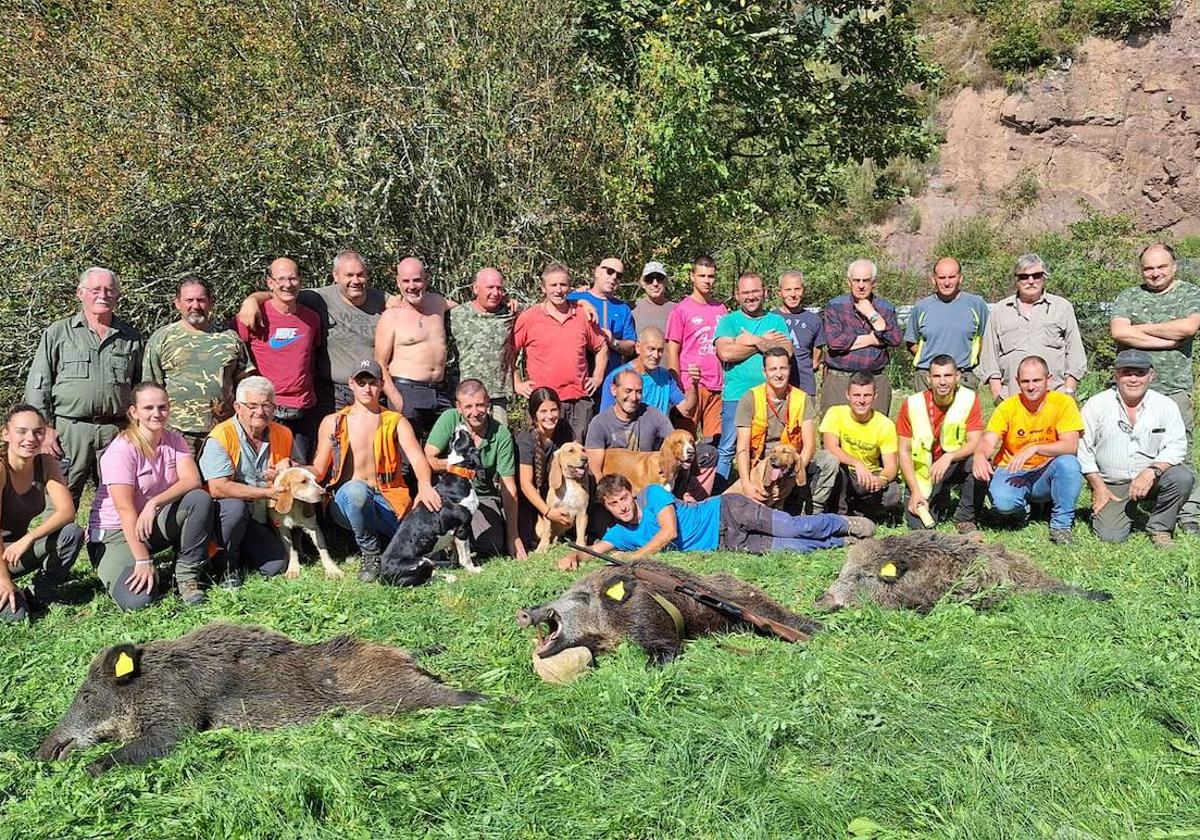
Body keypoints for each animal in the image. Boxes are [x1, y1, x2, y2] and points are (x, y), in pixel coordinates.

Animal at [379, 427, 482, 583]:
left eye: (453, 439)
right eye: (464, 437)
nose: (458, 428)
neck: (458, 473)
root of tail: (383, 574)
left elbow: (455, 555)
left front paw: (455, 565)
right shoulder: (462, 529)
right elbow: (466, 556)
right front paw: (473, 569)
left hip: (426, 560)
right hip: (420, 561)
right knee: (426, 579)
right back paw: (450, 577)